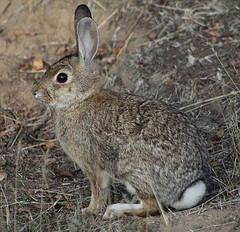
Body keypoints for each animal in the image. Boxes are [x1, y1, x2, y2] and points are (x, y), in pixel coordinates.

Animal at [32, 4, 211, 219]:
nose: (35, 93)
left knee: (153, 205)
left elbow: (98, 190)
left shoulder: (92, 166)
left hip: (130, 168)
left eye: (61, 77)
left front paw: (89, 210)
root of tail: (187, 186)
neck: (79, 100)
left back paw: (115, 210)